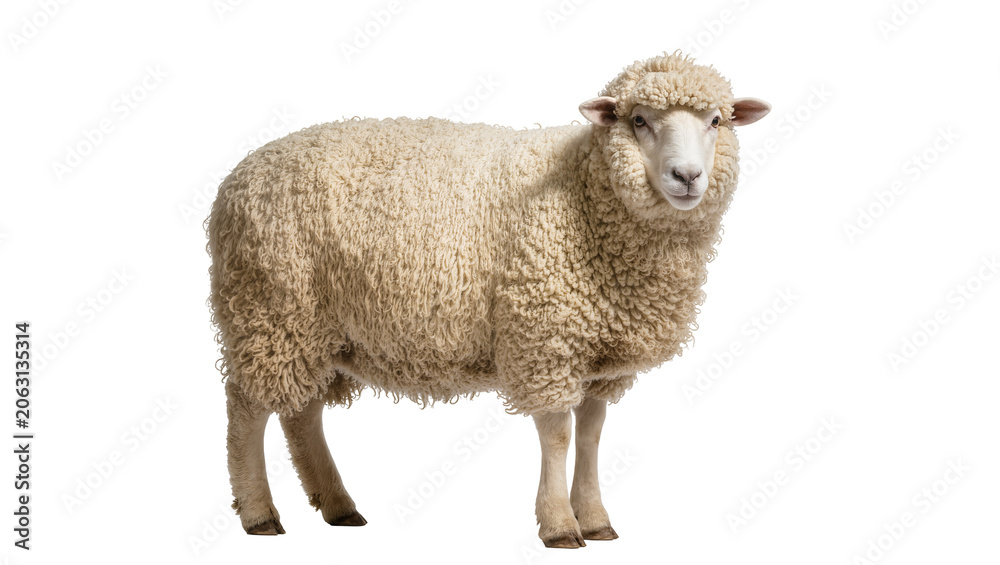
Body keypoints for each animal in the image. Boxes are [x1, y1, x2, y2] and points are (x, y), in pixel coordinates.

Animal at [207, 51, 770, 547]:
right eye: (638, 120)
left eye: (716, 120)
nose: (688, 177)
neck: (585, 193)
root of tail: (237, 177)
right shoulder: (544, 335)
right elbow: (558, 435)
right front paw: (559, 526)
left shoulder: (597, 353)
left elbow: (591, 434)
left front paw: (595, 520)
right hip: (268, 308)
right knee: (246, 411)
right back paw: (259, 513)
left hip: (309, 326)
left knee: (299, 412)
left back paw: (338, 505)